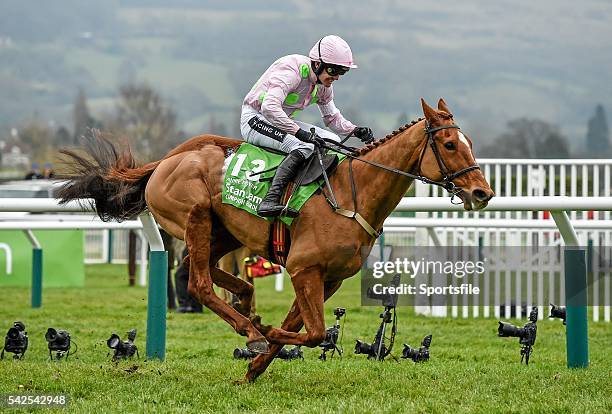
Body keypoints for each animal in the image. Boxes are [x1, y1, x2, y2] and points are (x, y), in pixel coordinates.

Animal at [58, 99, 492, 382]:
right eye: (450, 144)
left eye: (469, 142)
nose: (482, 193)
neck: (351, 195)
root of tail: (165, 160)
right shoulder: (304, 269)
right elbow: (314, 334)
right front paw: (262, 338)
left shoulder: (328, 279)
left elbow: (299, 326)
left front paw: (254, 367)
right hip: (196, 217)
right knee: (198, 282)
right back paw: (248, 327)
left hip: (222, 232)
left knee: (210, 271)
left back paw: (247, 306)